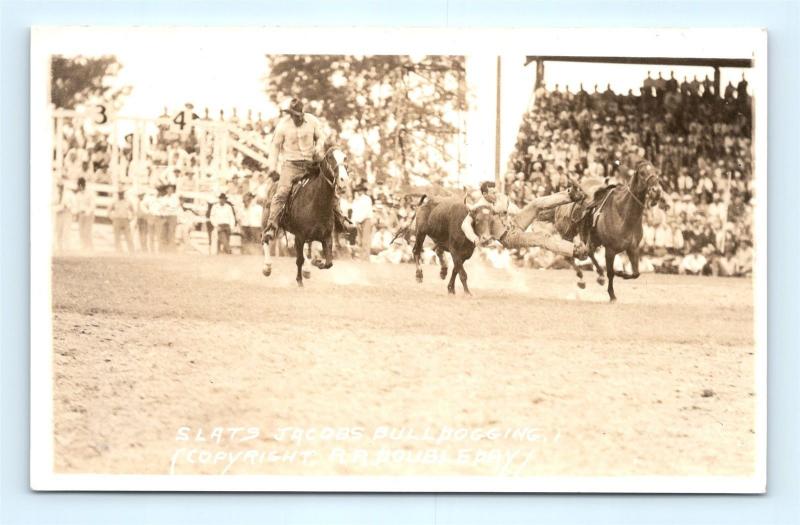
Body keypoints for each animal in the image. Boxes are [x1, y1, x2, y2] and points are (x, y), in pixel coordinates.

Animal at [262, 143, 350, 286]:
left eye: (345, 157)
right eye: (330, 157)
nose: (344, 180)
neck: (317, 204)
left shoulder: (326, 237)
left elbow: (328, 263)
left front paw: (317, 262)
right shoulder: (300, 236)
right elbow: (299, 260)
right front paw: (299, 281)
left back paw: (308, 269)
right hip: (267, 221)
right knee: (265, 238)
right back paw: (267, 267)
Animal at [544, 160, 664, 300]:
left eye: (655, 171)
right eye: (642, 173)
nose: (657, 192)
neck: (623, 214)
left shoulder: (632, 249)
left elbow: (636, 273)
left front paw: (621, 273)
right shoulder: (610, 250)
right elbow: (611, 273)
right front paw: (612, 294)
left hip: (592, 240)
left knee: (589, 253)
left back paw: (600, 275)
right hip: (568, 234)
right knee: (568, 256)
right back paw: (581, 279)